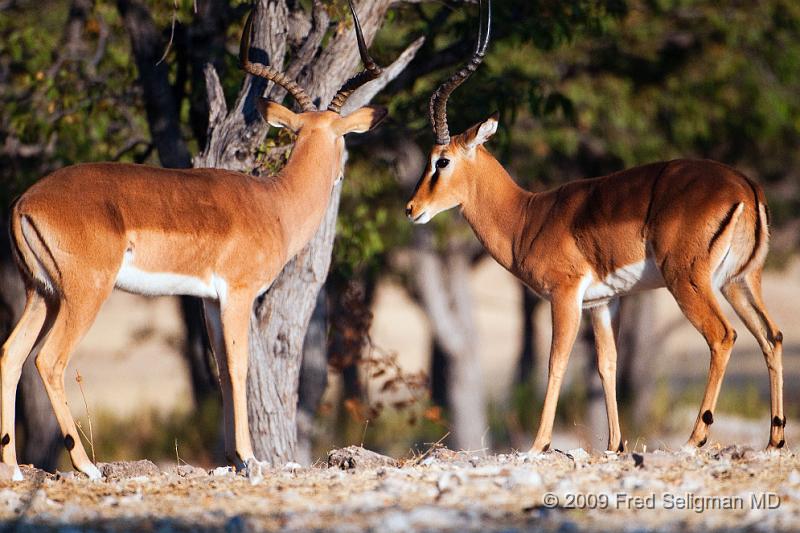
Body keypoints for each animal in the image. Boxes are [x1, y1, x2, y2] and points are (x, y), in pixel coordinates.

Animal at [0, 0, 394, 478]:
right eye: (342, 139)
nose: (340, 175)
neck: (275, 204)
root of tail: (24, 201)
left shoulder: (209, 299)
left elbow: (222, 369)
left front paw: (233, 458)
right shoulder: (239, 294)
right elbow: (240, 368)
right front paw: (250, 458)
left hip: (41, 292)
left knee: (10, 354)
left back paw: (12, 468)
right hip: (84, 294)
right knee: (48, 359)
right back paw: (88, 467)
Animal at [410, 0, 784, 454]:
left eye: (441, 161)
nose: (411, 208)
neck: (527, 216)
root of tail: (745, 185)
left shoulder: (565, 295)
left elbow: (556, 363)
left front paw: (539, 444)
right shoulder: (603, 303)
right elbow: (607, 365)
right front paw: (614, 445)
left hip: (689, 281)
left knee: (723, 336)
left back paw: (696, 437)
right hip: (739, 281)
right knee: (771, 336)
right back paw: (775, 438)